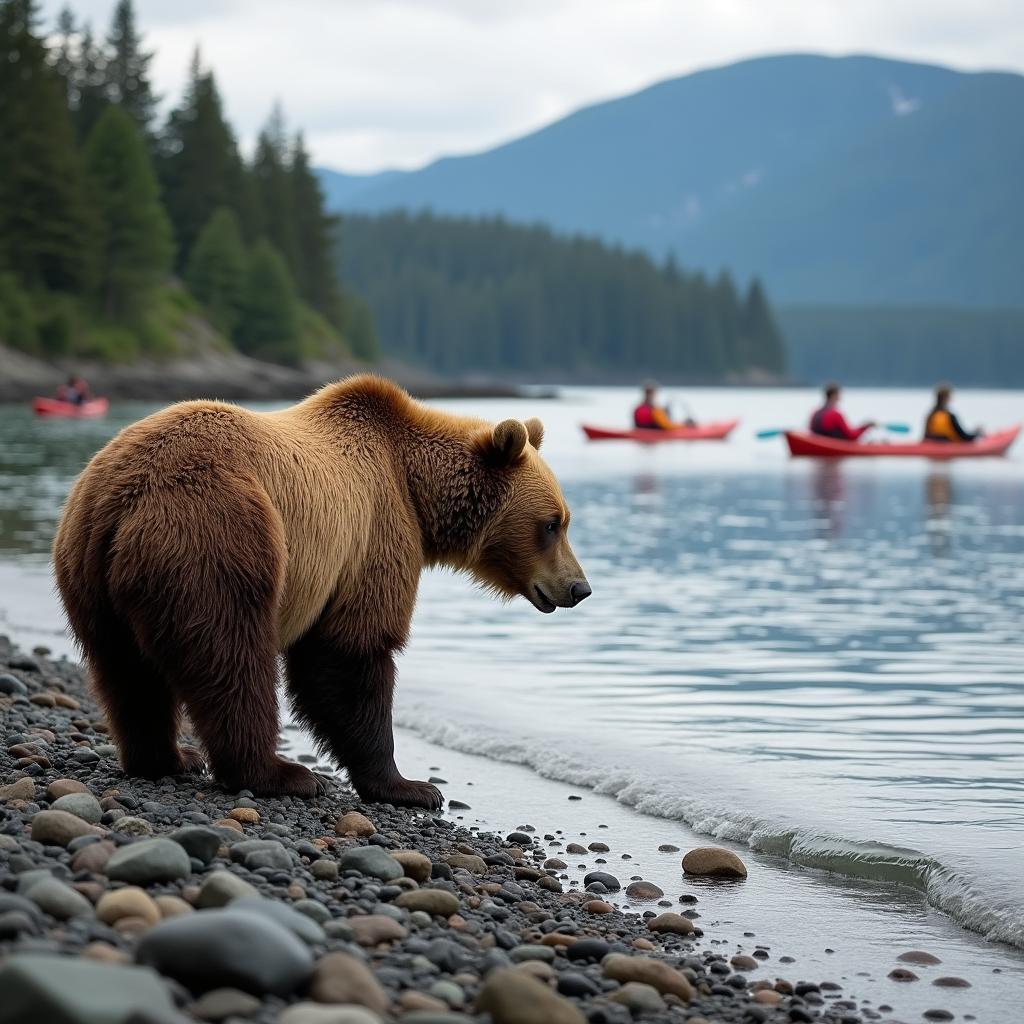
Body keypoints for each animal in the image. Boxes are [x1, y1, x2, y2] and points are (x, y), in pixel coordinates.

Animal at [51, 376, 589, 806]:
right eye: (552, 523)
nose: (579, 587)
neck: (417, 490)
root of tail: (121, 498)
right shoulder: (374, 530)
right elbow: (351, 652)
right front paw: (410, 786)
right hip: (215, 534)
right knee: (230, 655)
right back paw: (278, 773)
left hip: (87, 575)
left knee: (126, 672)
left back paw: (168, 757)